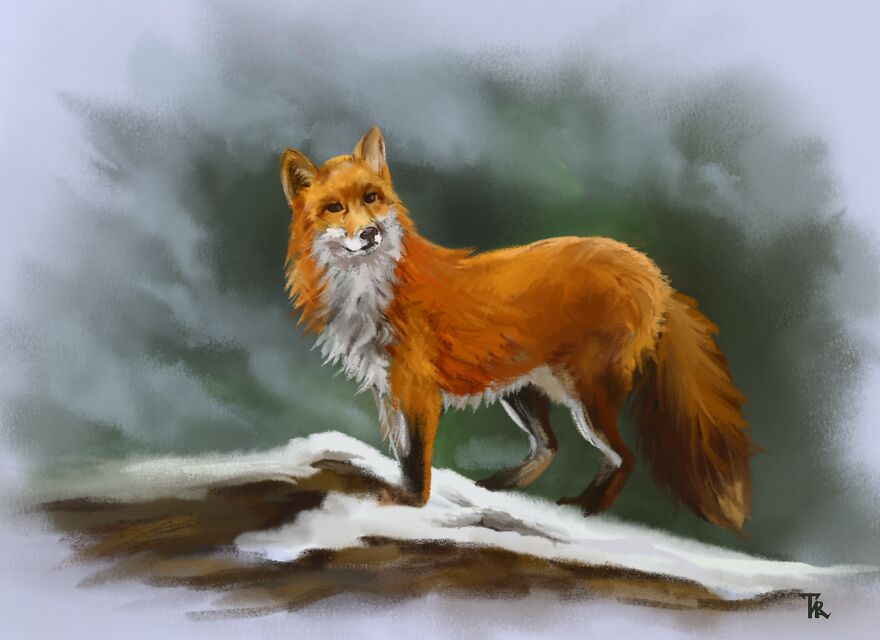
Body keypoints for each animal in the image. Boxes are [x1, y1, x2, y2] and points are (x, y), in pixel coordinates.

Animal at [280, 127, 753, 532]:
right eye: (334, 207)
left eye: (372, 197)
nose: (370, 233)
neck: (370, 291)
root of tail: (652, 270)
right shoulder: (389, 389)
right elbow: (402, 455)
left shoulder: (418, 390)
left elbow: (416, 468)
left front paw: (408, 505)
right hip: (522, 390)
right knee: (549, 448)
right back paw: (489, 489)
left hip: (585, 395)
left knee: (624, 458)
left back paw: (584, 509)